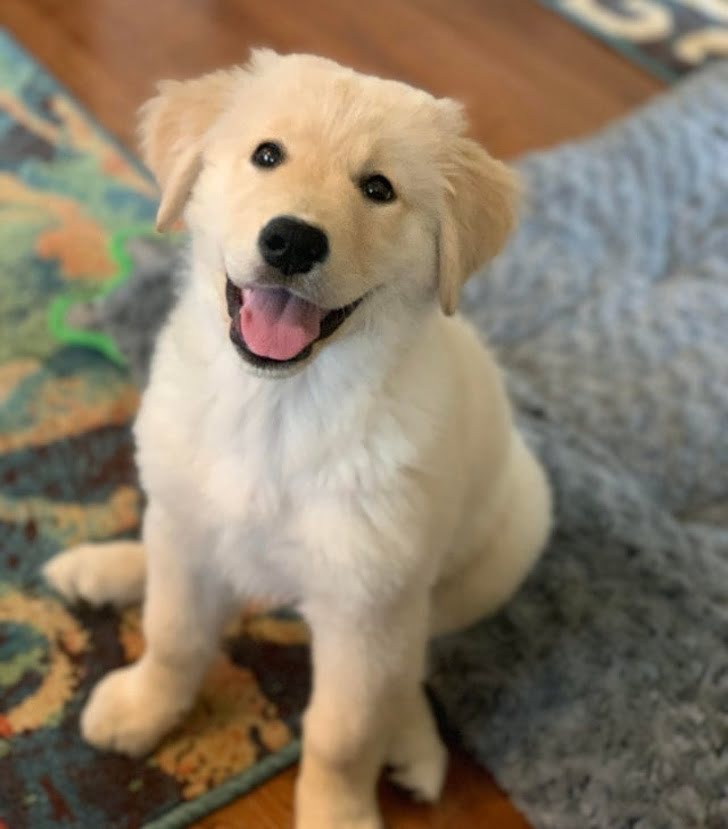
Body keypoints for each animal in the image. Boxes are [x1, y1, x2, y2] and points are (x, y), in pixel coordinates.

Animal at [44, 51, 552, 828]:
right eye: (267, 155)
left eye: (378, 189)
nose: (292, 240)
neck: (278, 406)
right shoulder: (194, 543)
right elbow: (173, 637)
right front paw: (143, 709)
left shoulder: (365, 606)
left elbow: (343, 733)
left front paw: (338, 809)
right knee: (165, 546)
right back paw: (105, 569)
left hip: (499, 550)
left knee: (417, 657)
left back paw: (413, 741)